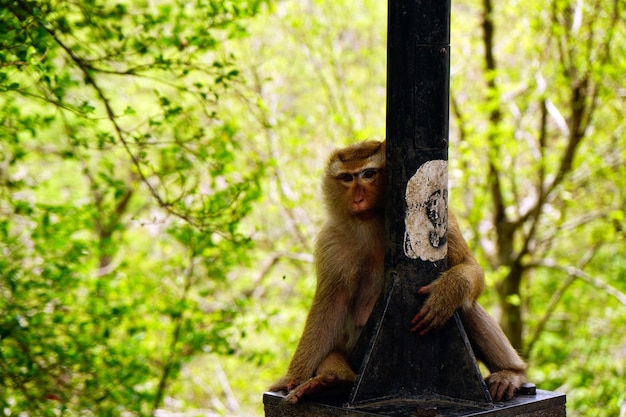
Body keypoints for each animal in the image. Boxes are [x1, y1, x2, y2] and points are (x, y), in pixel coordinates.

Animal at [270, 140, 528, 404]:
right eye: (347, 178)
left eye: (368, 174)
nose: (358, 198)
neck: (372, 223)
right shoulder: (331, 241)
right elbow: (331, 306)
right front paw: (293, 377)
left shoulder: (445, 218)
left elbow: (469, 266)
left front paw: (447, 292)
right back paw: (330, 383)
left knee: (466, 306)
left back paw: (511, 373)